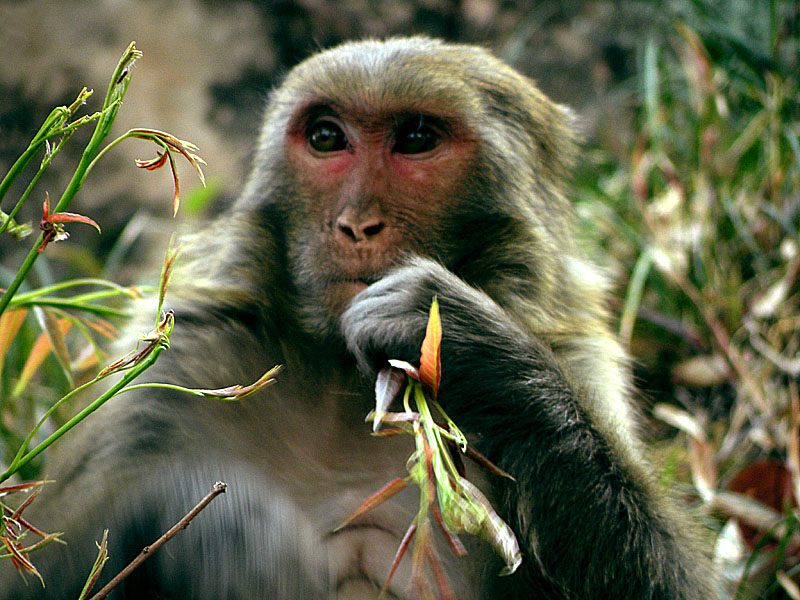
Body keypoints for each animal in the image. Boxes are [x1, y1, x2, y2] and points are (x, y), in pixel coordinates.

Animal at [0, 38, 720, 600]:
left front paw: (468, 343)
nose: (354, 224)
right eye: (327, 138)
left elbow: (673, 585)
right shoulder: (176, 369)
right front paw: (222, 532)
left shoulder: (577, 354)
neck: (339, 380)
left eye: (417, 139)